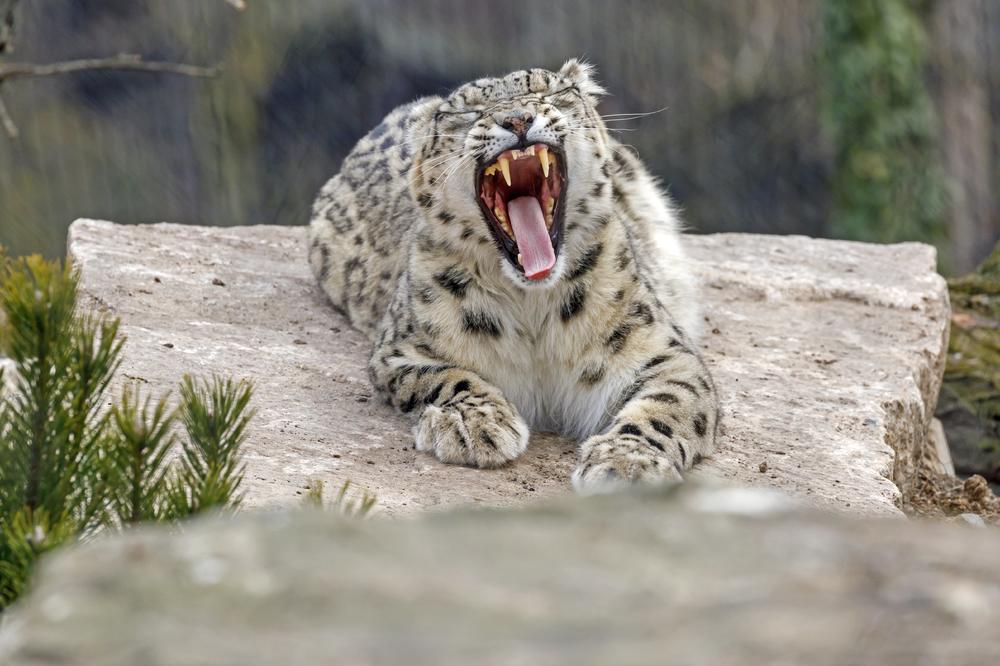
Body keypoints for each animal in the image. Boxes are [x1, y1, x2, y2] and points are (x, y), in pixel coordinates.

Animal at [308, 59, 719, 493]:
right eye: (468, 111)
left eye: (550, 92)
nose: (517, 118)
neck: (533, 305)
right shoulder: (400, 349)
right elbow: (447, 375)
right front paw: (474, 424)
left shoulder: (661, 350)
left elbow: (667, 404)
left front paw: (628, 462)